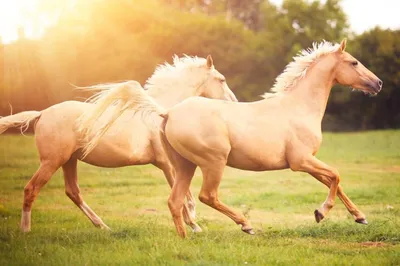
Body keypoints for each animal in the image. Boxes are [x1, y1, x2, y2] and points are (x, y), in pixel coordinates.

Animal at [0, 55, 238, 232]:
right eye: (221, 79)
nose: (234, 102)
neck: (161, 113)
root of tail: (41, 114)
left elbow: (185, 195)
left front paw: (194, 223)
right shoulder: (168, 164)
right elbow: (181, 195)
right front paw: (194, 225)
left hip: (69, 161)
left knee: (73, 192)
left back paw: (103, 226)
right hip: (52, 161)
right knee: (31, 189)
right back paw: (25, 230)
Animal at [80, 39, 382, 237]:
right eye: (354, 62)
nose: (377, 83)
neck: (298, 107)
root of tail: (168, 112)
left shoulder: (308, 162)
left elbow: (334, 181)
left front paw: (360, 217)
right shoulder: (301, 161)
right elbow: (336, 177)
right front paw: (321, 213)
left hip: (184, 166)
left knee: (176, 201)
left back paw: (186, 238)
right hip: (213, 162)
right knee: (207, 196)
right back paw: (245, 225)